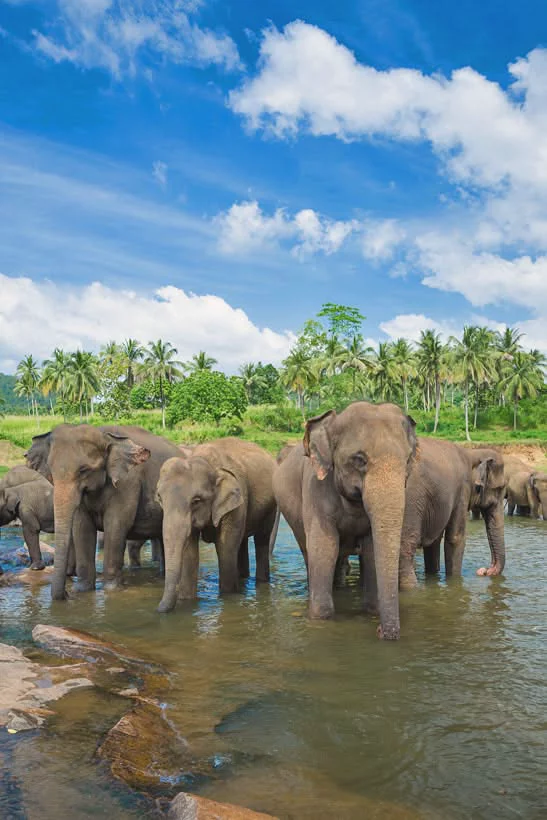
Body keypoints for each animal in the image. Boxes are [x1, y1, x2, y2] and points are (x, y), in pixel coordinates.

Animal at [26, 424, 182, 600]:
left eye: (83, 470)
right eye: (51, 472)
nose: (66, 594)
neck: (104, 434)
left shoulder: (127, 483)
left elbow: (115, 525)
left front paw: (112, 591)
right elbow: (82, 527)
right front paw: (82, 590)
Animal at [156, 438, 278, 613]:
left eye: (196, 501)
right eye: (159, 497)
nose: (158, 609)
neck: (208, 463)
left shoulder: (236, 501)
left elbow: (225, 548)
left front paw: (227, 599)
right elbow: (190, 553)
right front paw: (187, 602)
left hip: (270, 508)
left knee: (261, 540)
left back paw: (260, 582)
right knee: (241, 543)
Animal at [273, 401, 417, 640]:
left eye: (407, 461)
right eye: (359, 460)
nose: (381, 632)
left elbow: (370, 549)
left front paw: (372, 611)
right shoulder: (315, 490)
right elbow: (324, 548)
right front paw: (319, 618)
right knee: (309, 553)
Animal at [398, 442, 506, 589]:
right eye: (499, 489)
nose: (484, 571)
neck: (472, 453)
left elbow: (435, 540)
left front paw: (434, 576)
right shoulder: (462, 490)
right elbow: (456, 538)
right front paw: (454, 581)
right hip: (410, 502)